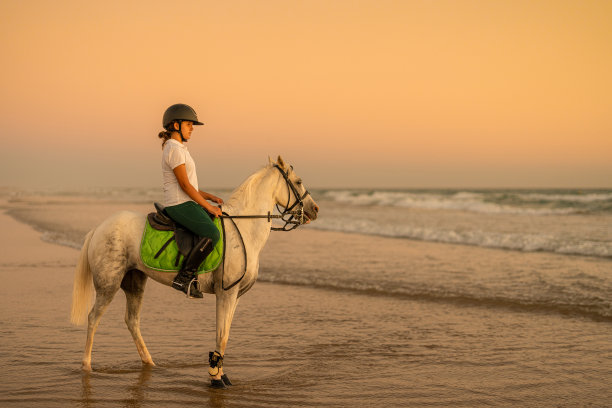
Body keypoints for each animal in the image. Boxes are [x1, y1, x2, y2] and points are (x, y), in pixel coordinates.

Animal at [70, 155, 320, 386]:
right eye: (298, 182)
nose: (315, 209)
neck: (244, 228)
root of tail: (99, 228)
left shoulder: (235, 295)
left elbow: (225, 334)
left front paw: (221, 375)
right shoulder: (226, 292)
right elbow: (222, 335)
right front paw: (215, 377)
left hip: (135, 282)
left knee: (132, 321)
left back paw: (150, 363)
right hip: (109, 284)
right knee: (94, 318)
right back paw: (87, 366)